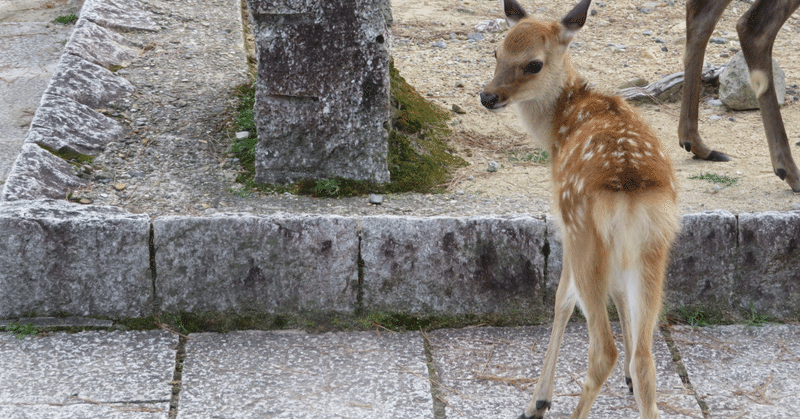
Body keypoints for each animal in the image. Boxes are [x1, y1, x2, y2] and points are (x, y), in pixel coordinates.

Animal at [482, 0, 680, 419]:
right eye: (496, 52)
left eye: (534, 64)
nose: (487, 96)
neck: (559, 127)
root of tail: (630, 191)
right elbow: (618, 298)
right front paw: (627, 382)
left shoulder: (563, 223)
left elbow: (560, 302)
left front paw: (539, 400)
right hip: (654, 248)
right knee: (646, 356)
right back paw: (635, 379)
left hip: (583, 232)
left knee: (603, 348)